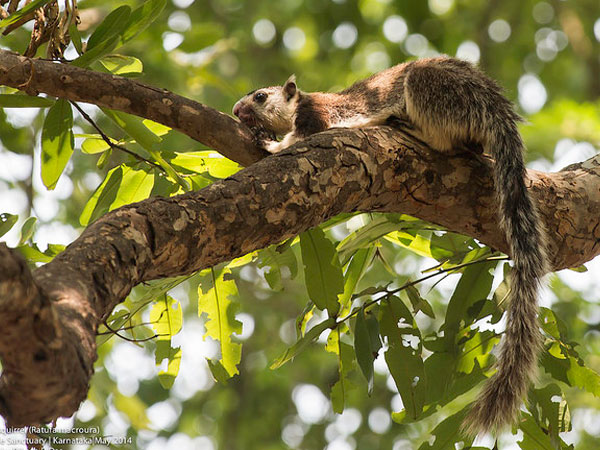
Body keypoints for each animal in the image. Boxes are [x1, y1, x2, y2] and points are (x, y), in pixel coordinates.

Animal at [233, 56, 548, 436]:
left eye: (260, 96)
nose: (236, 110)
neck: (299, 104)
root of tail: (497, 107)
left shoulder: (314, 117)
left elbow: (298, 139)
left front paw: (270, 144)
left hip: (435, 90)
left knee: (444, 139)